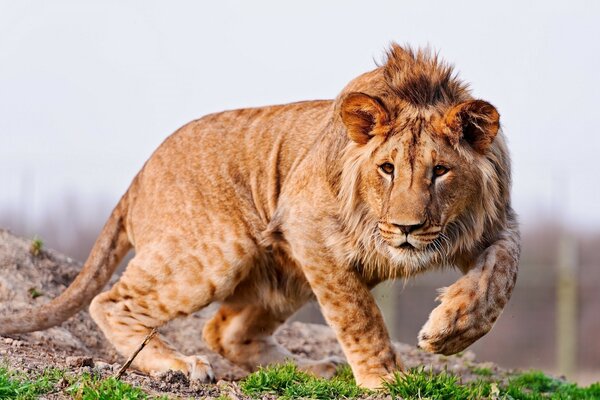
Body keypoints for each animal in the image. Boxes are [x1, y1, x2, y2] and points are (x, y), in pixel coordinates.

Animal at [0, 43, 520, 388]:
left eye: (441, 171)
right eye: (387, 168)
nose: (407, 229)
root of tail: (139, 177)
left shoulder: (494, 223)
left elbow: (502, 275)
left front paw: (450, 331)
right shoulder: (309, 228)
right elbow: (359, 315)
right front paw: (385, 379)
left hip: (284, 275)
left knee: (223, 330)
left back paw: (314, 368)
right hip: (218, 252)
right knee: (110, 302)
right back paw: (177, 365)